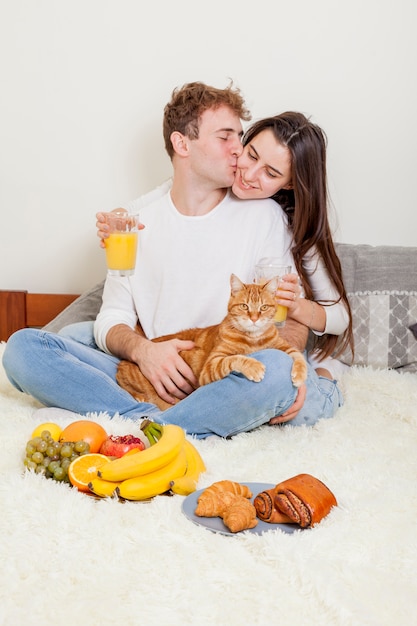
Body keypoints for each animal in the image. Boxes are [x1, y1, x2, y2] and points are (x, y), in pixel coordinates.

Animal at [115, 272, 308, 410]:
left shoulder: (282, 345)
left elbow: (298, 355)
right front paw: (253, 365)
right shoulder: (211, 366)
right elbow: (234, 359)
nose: (254, 319)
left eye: (264, 307)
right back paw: (139, 398)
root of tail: (123, 362)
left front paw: (299, 375)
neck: (253, 339)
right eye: (244, 306)